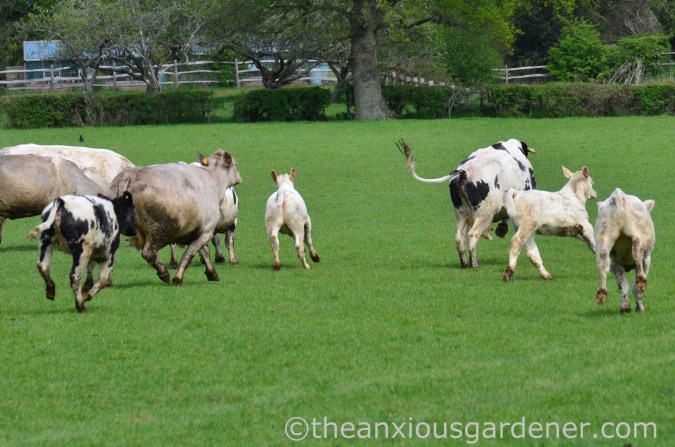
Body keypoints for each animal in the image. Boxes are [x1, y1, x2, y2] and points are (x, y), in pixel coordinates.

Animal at [108, 150, 241, 285]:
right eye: (235, 164)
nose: (239, 176)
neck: (212, 179)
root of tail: (128, 175)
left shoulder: (194, 231)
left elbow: (204, 252)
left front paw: (211, 273)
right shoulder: (206, 232)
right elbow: (189, 254)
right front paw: (178, 277)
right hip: (156, 229)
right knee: (149, 253)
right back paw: (164, 273)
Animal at [398, 138, 536, 268]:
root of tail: (463, 171)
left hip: (461, 214)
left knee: (459, 238)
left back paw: (464, 264)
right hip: (484, 214)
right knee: (472, 235)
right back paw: (474, 264)